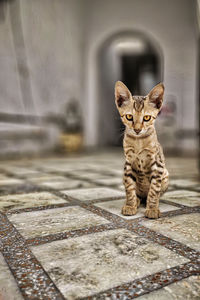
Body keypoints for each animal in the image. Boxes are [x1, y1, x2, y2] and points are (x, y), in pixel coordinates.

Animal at [114, 81, 169, 219]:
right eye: (129, 117)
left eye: (147, 118)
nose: (137, 130)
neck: (138, 141)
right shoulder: (128, 164)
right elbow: (129, 188)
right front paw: (130, 205)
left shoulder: (157, 165)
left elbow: (154, 190)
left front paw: (153, 208)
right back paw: (137, 200)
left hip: (166, 175)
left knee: (154, 193)